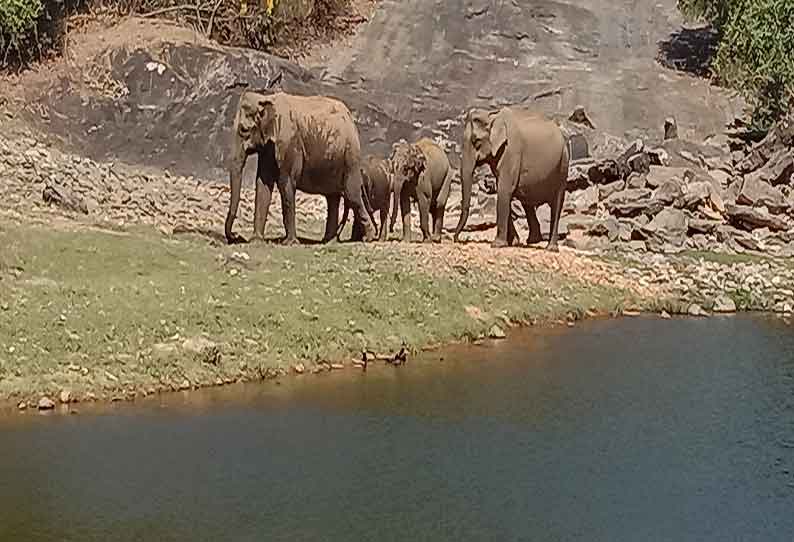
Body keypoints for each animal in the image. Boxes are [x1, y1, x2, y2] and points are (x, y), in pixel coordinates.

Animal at [221, 91, 372, 246]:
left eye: (244, 130)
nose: (236, 236)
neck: (266, 98)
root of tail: (351, 119)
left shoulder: (289, 143)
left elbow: (285, 183)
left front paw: (290, 243)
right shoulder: (268, 148)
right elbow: (263, 184)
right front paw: (256, 241)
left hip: (350, 157)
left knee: (351, 193)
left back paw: (368, 238)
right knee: (333, 198)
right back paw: (328, 241)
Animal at [452, 107, 568, 252]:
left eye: (476, 141)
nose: (456, 239)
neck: (492, 115)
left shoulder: (511, 152)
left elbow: (504, 191)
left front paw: (497, 245)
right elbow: (504, 192)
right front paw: (513, 242)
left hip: (563, 165)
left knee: (557, 204)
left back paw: (550, 248)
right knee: (527, 203)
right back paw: (532, 240)